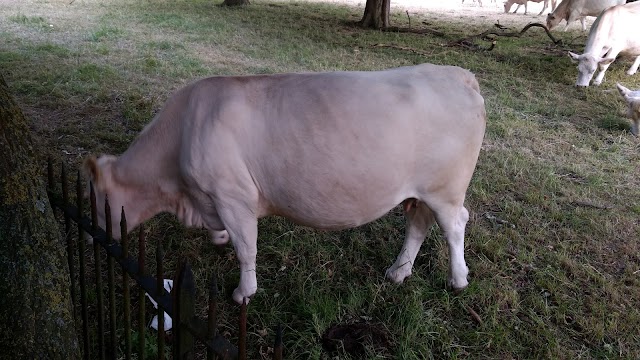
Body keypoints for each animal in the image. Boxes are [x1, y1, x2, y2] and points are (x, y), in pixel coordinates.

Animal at [82, 64, 488, 304]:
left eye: (94, 200)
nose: (88, 235)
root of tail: (456, 73)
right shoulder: (212, 198)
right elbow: (228, 236)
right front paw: (218, 237)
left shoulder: (234, 196)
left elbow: (246, 249)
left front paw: (243, 292)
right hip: (422, 192)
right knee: (418, 225)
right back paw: (398, 272)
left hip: (446, 188)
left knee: (455, 225)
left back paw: (458, 279)